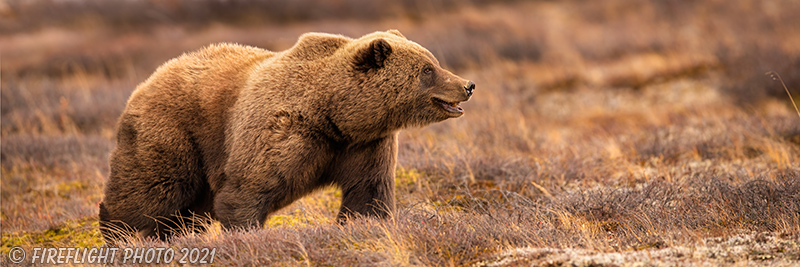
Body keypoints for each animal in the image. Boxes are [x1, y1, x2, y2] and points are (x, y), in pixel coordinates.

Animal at [100, 29, 476, 243]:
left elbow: (368, 192)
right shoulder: (285, 130)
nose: (468, 85)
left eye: (433, 61)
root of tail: (147, 80)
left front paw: (366, 225)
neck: (335, 114)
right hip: (176, 132)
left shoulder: (365, 144)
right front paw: (246, 235)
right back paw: (121, 235)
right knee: (153, 188)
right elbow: (247, 188)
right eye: (428, 69)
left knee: (188, 207)